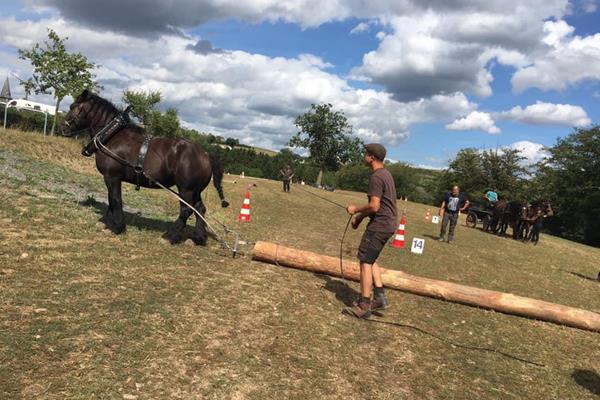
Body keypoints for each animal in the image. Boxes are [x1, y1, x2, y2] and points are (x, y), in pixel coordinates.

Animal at [60, 89, 230, 245]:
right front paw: (105, 222)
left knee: (186, 210)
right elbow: (110, 199)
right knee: (200, 209)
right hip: (195, 191)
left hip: (186, 189)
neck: (112, 136)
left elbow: (115, 200)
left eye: (72, 106)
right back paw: (198, 238)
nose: (63, 128)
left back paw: (170, 236)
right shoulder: (111, 178)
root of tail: (206, 155)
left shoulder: (112, 176)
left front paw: (117, 227)